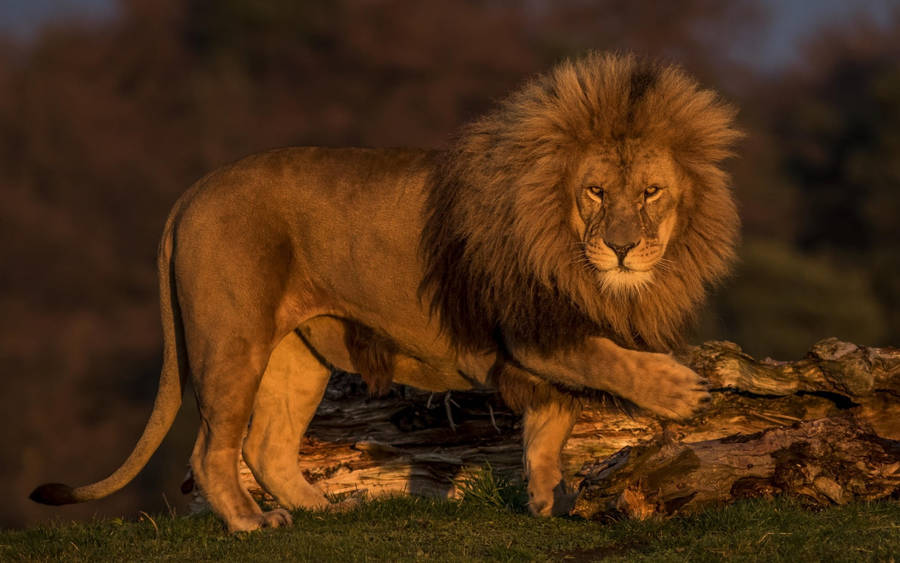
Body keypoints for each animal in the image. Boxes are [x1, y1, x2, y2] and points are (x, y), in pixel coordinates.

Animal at [31, 52, 740, 532]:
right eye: (595, 192)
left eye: (650, 193)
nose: (621, 248)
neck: (563, 241)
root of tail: (190, 194)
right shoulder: (530, 329)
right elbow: (605, 358)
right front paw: (682, 391)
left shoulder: (540, 335)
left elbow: (553, 416)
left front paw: (546, 497)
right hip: (233, 341)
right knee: (213, 450)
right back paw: (251, 522)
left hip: (299, 353)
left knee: (267, 446)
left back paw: (323, 510)